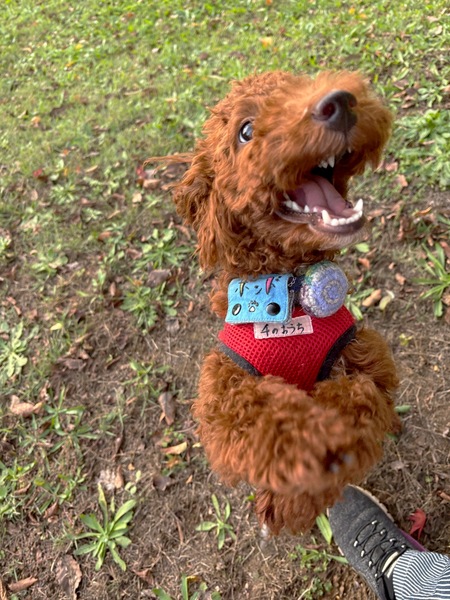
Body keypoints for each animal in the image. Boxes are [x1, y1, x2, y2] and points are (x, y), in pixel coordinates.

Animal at [166, 71, 400, 534]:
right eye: (245, 131)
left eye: (303, 83)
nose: (339, 102)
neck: (289, 290)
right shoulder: (222, 395)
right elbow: (262, 425)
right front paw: (310, 449)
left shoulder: (365, 358)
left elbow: (362, 395)